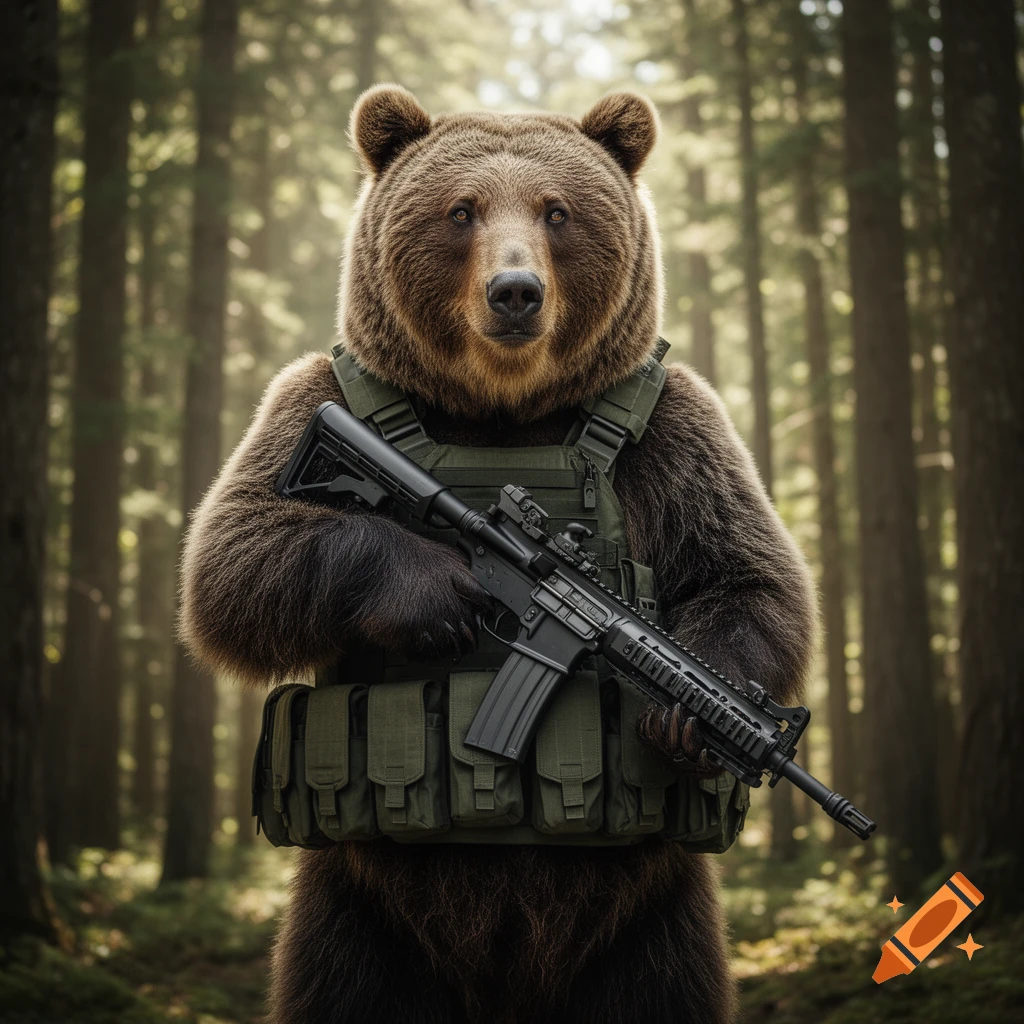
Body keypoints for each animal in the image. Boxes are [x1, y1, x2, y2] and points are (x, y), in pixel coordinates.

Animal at [178, 85, 816, 1024]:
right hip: (356, 915)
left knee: (662, 981)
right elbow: (230, 556)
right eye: (461, 211)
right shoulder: (311, 397)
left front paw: (698, 710)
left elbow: (749, 570)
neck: (503, 411)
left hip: (652, 923)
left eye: (557, 212)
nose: (515, 293)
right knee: (341, 978)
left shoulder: (685, 426)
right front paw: (432, 591)